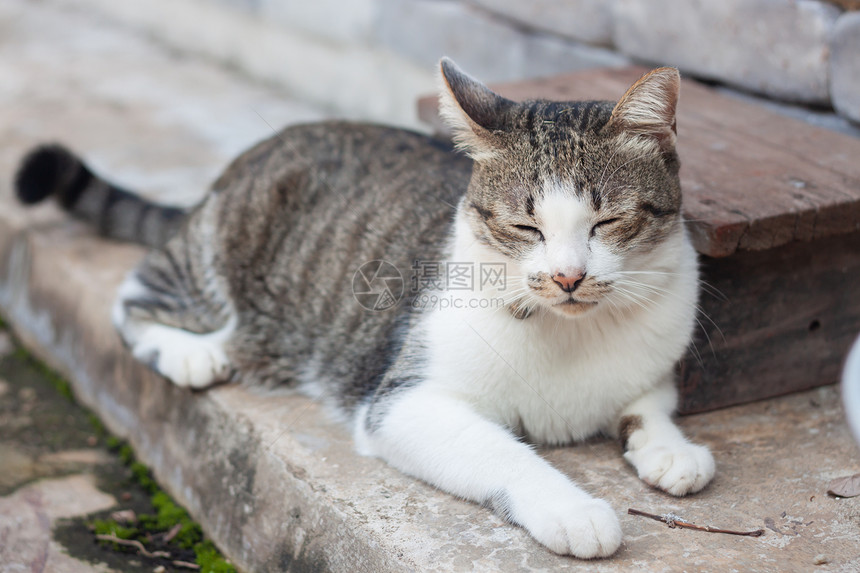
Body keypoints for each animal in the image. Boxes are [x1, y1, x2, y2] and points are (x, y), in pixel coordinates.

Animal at [16, 59, 712, 560]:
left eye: (607, 222)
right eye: (525, 227)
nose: (569, 277)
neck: (574, 332)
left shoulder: (656, 355)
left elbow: (649, 401)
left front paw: (671, 449)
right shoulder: (404, 402)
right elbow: (507, 452)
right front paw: (573, 509)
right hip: (215, 255)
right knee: (136, 290)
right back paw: (194, 352)